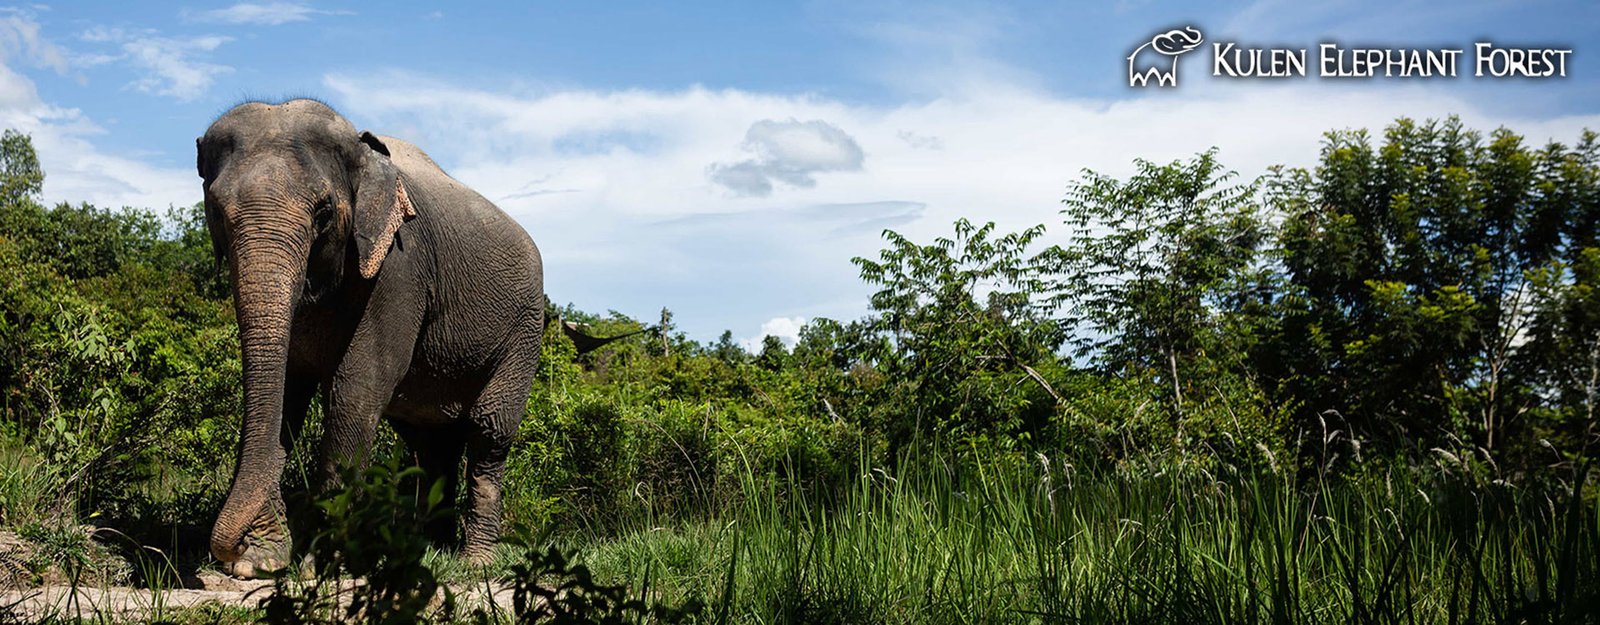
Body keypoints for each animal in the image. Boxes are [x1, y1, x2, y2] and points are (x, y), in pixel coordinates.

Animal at [192, 97, 544, 578]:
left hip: (525, 331)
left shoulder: (398, 268)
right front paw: (264, 560)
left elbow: (355, 391)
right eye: (215, 210)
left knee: (489, 430)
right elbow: (286, 396)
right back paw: (428, 550)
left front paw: (319, 566)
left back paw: (474, 564)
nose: (233, 552)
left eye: (323, 212)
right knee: (430, 444)